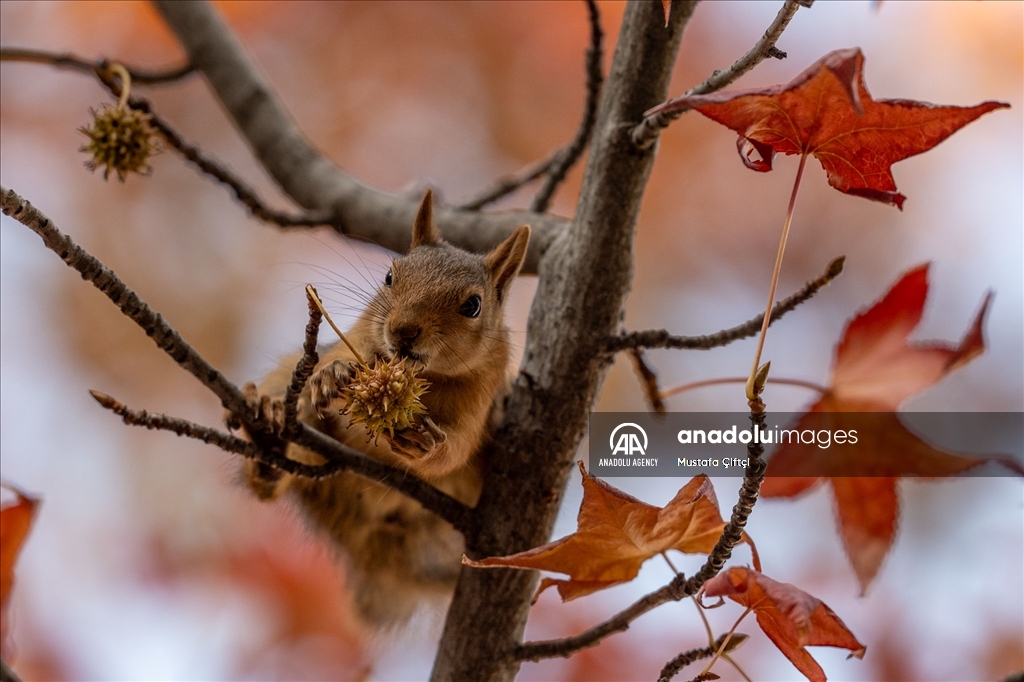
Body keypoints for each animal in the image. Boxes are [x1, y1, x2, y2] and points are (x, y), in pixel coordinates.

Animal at [236, 189, 532, 626]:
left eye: (473, 306)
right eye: (390, 277)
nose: (403, 330)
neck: (424, 377)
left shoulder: (481, 389)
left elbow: (458, 446)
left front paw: (429, 445)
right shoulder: (360, 335)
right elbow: (336, 359)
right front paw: (333, 373)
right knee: (271, 478)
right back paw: (267, 434)